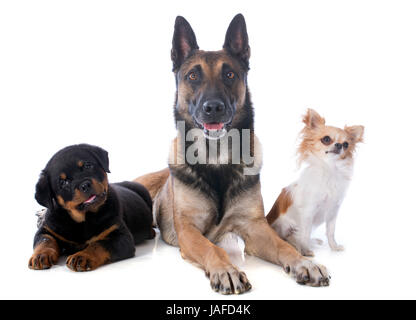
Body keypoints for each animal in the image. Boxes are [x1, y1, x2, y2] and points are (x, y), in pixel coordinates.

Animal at [28, 144, 154, 272]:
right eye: (63, 182)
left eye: (88, 165)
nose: (85, 185)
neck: (85, 218)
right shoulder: (47, 229)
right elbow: (45, 241)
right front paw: (40, 256)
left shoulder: (121, 237)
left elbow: (98, 244)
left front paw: (82, 256)